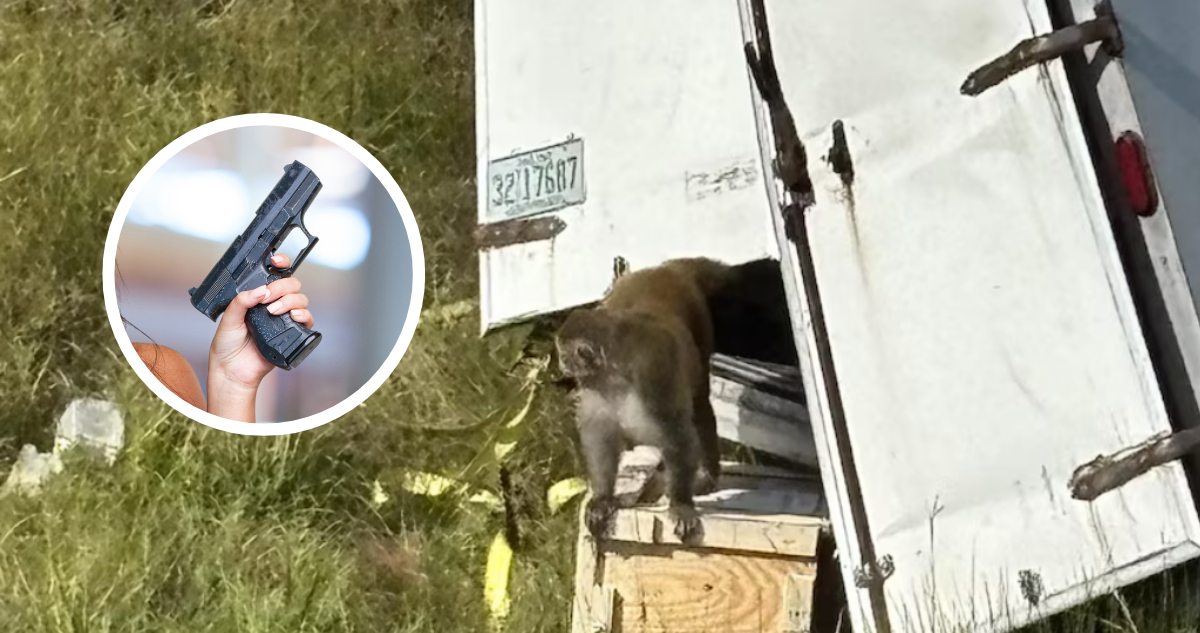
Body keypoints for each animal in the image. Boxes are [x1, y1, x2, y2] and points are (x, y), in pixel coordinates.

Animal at [555, 257, 733, 543]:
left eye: (563, 354)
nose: (561, 364)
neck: (615, 373)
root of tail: (664, 269)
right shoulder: (595, 388)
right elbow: (600, 437)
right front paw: (603, 497)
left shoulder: (652, 374)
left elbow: (677, 434)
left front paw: (681, 504)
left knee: (699, 405)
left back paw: (707, 475)